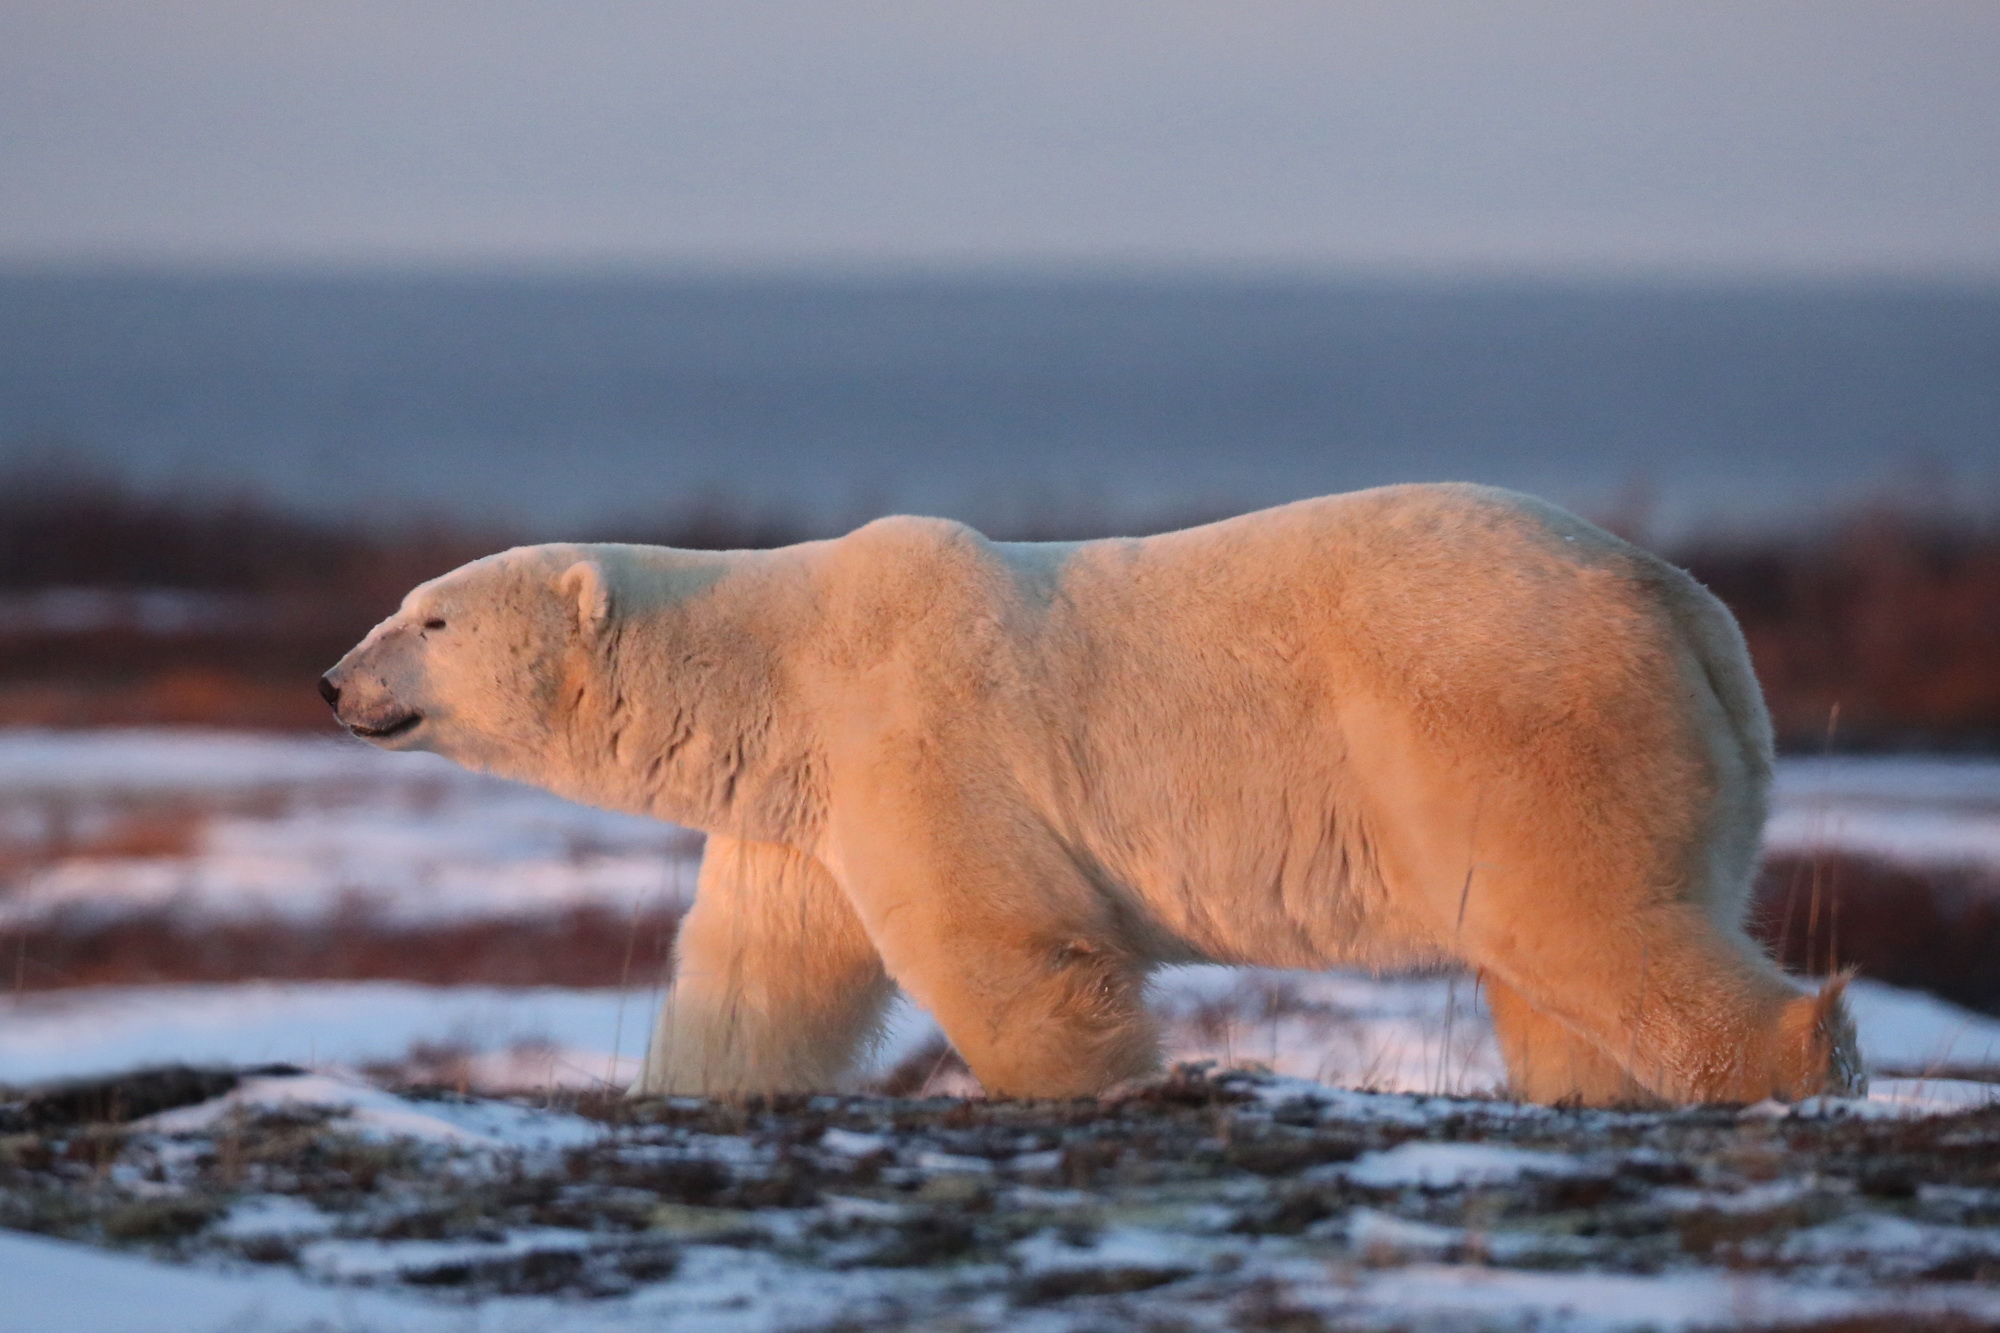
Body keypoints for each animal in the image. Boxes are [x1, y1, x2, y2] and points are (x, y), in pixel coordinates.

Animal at [320, 482, 1864, 1104]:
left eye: (430, 618)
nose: (333, 683)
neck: (788, 659)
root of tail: (1683, 599)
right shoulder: (804, 811)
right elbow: (762, 974)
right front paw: (692, 1089)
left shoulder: (918, 735)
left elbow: (1004, 944)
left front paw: (1098, 1084)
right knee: (1548, 960)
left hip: (1507, 722)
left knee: (1588, 917)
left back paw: (1793, 1063)